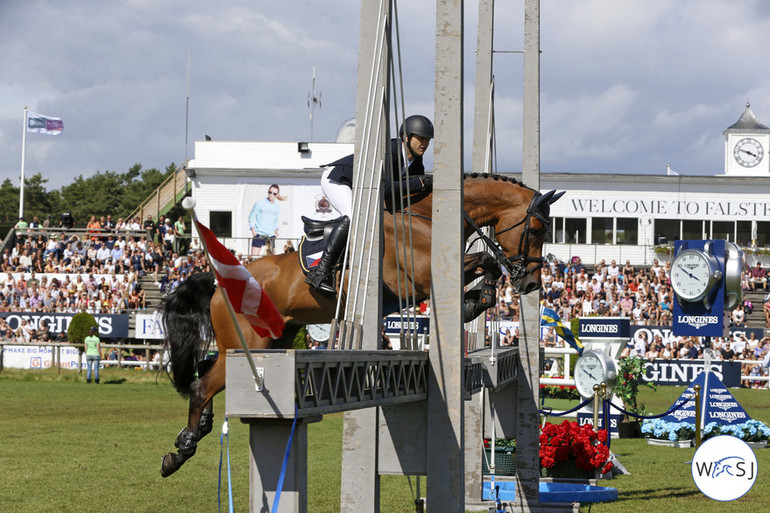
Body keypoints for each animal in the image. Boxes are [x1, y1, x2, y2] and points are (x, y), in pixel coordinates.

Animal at [159, 172, 560, 476]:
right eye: (536, 229)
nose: (531, 284)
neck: (427, 218)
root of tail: (218, 283)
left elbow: (485, 267)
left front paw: (479, 299)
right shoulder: (419, 279)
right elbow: (484, 261)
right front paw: (475, 298)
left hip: (271, 342)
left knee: (206, 371)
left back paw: (194, 433)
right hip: (248, 345)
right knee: (201, 386)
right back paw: (180, 452)